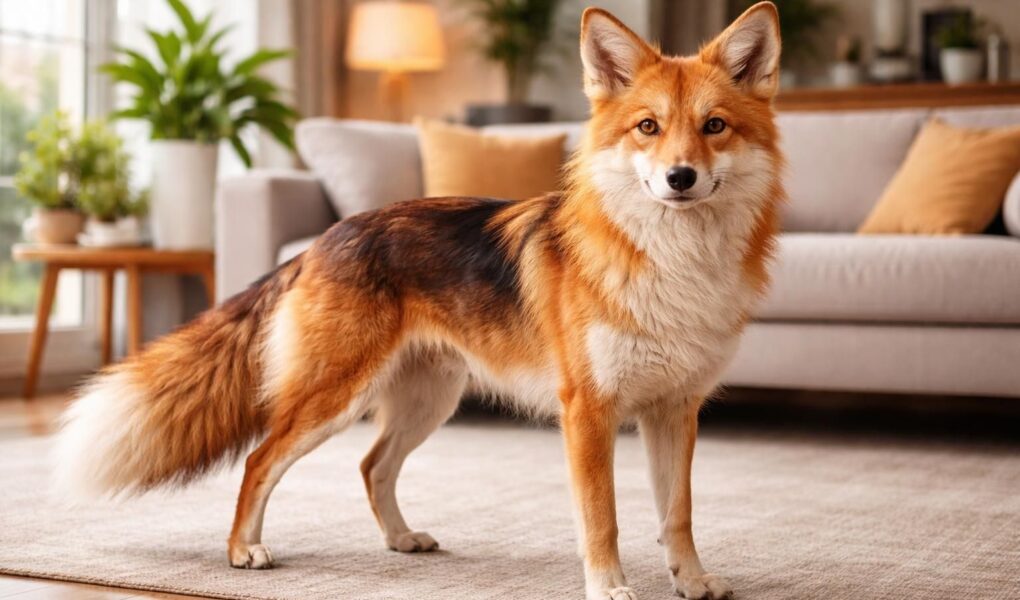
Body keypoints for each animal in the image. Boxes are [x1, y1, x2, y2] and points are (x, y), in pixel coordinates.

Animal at [53, 4, 784, 599]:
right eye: (647, 127)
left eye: (714, 126)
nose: (680, 177)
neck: (671, 268)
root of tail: (324, 237)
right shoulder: (588, 414)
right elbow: (602, 521)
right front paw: (609, 589)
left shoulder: (674, 410)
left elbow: (676, 516)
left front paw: (692, 583)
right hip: (336, 397)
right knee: (261, 459)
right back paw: (243, 551)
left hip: (430, 399)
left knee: (371, 464)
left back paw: (400, 540)